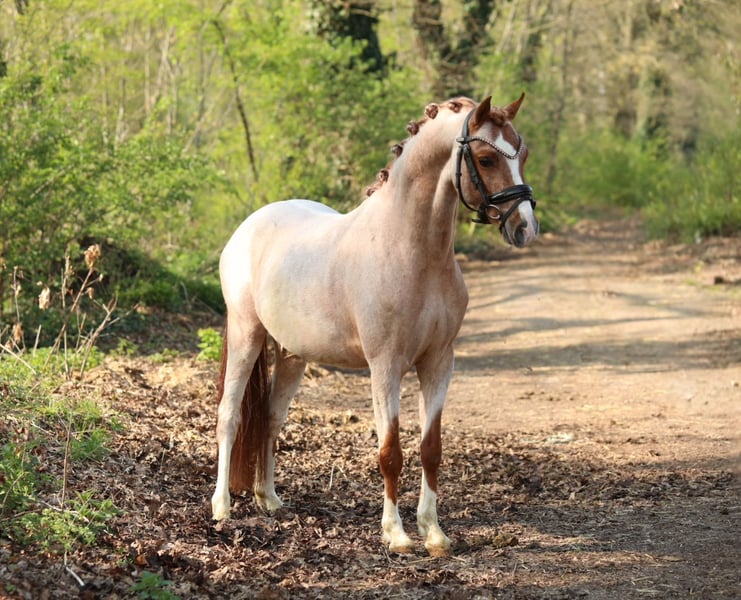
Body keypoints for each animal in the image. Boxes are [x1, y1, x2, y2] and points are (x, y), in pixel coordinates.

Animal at [210, 95, 539, 556]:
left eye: (522, 156)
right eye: (487, 158)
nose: (525, 228)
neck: (412, 250)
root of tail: (249, 226)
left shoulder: (439, 363)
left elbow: (431, 448)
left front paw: (434, 533)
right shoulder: (385, 367)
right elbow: (390, 451)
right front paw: (396, 535)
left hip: (292, 355)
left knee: (271, 419)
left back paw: (268, 498)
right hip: (246, 334)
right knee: (230, 414)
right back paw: (221, 506)